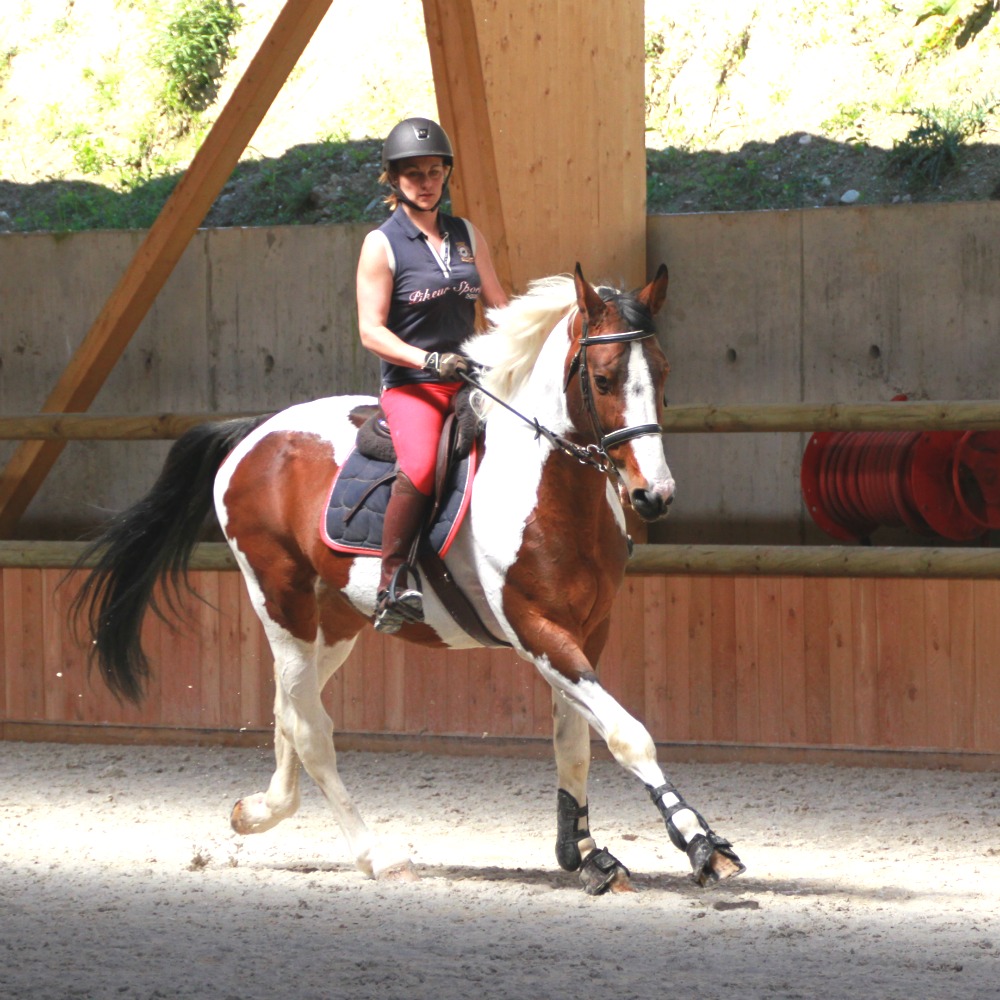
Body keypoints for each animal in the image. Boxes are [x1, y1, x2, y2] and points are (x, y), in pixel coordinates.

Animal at [76, 262, 744, 896]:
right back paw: (377, 856)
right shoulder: (537, 631)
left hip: (336, 620)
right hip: (281, 601)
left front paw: (585, 855)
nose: (653, 495)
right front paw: (700, 844)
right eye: (603, 380)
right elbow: (630, 736)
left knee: (290, 708)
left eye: (662, 373)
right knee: (310, 727)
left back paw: (259, 811)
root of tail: (255, 431)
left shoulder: (586, 632)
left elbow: (575, 743)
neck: (550, 486)